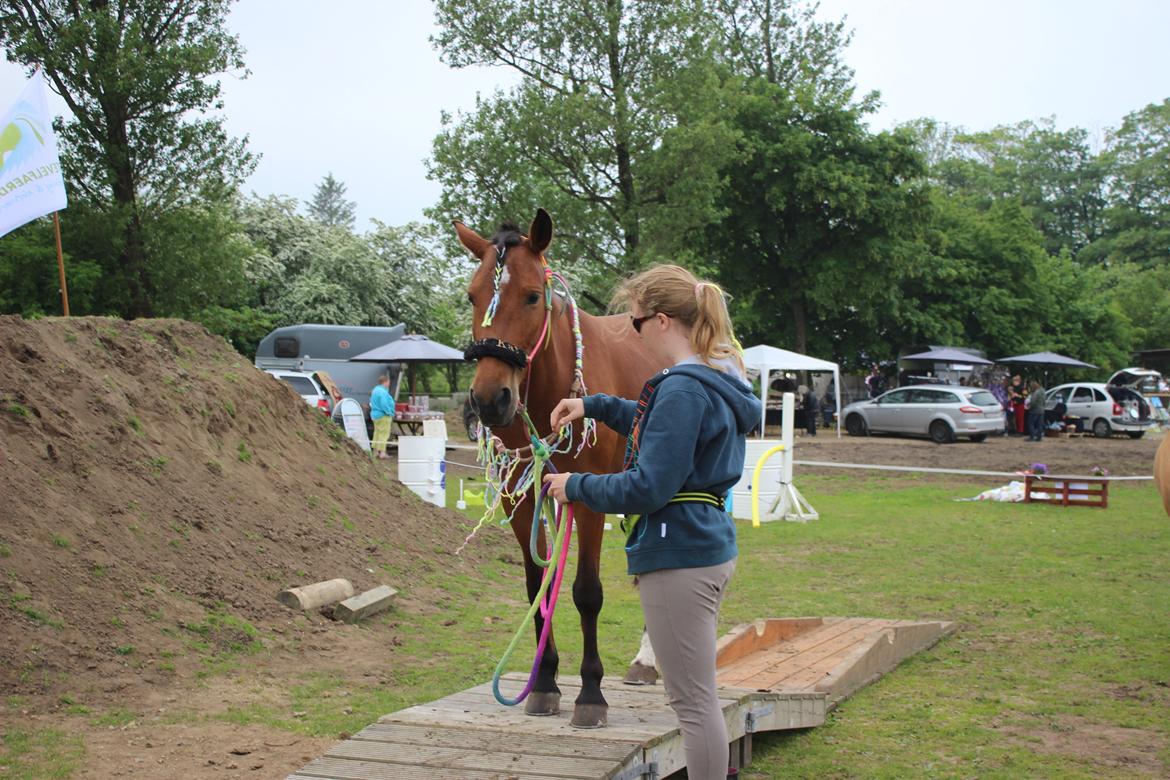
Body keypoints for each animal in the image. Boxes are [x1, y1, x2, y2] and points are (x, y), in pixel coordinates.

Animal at [453, 210, 669, 729]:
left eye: (533, 295)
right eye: (471, 295)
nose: (489, 400)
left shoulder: (589, 499)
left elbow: (586, 592)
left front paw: (590, 693)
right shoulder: (524, 497)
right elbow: (538, 584)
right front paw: (544, 682)